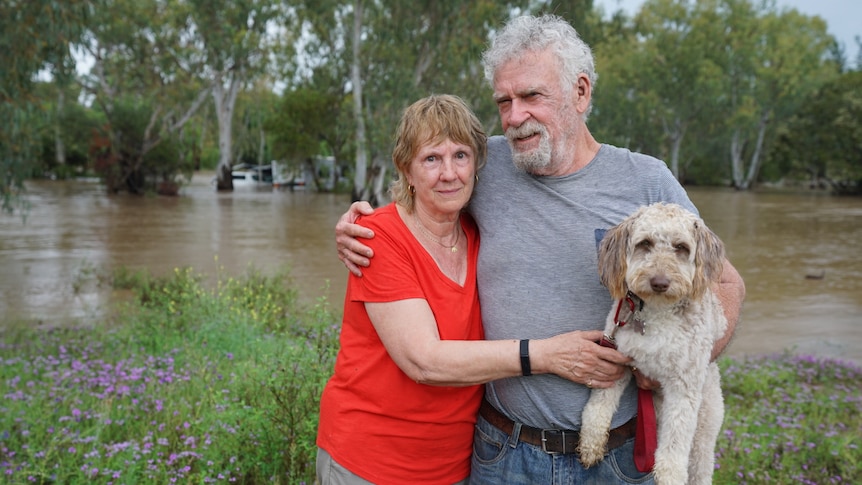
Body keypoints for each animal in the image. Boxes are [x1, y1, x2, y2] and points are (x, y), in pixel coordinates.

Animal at [580, 202, 728, 484]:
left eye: (681, 247)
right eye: (645, 243)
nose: (659, 282)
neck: (656, 315)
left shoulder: (683, 387)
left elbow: (674, 444)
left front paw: (669, 476)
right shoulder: (618, 360)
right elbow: (598, 405)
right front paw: (590, 443)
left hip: (704, 433)